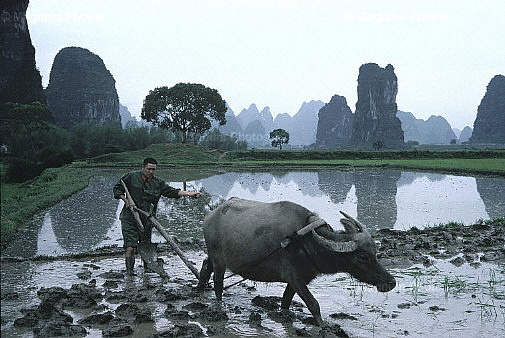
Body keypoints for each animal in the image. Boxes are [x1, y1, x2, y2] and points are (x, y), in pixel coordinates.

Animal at [195, 197, 396, 326]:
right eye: (363, 257)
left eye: (375, 253)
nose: (391, 282)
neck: (305, 240)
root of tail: (209, 217)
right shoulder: (294, 278)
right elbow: (313, 304)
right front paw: (323, 327)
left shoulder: (298, 280)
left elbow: (285, 302)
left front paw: (285, 317)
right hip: (220, 262)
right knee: (218, 285)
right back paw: (219, 305)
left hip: (213, 258)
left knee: (205, 266)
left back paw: (199, 290)